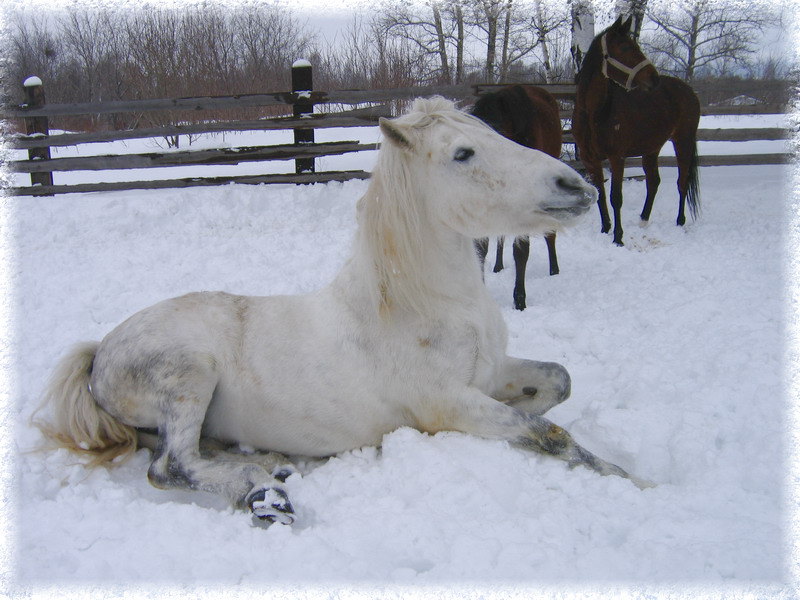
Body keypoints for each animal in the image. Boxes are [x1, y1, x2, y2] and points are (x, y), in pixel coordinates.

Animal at [572, 15, 696, 246]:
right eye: (624, 47)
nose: (654, 78)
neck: (595, 112)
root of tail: (688, 90)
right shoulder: (589, 159)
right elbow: (601, 194)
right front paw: (605, 229)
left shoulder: (617, 158)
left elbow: (616, 198)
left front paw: (618, 237)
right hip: (651, 148)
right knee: (653, 182)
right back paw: (643, 220)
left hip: (683, 141)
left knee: (682, 182)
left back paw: (680, 222)